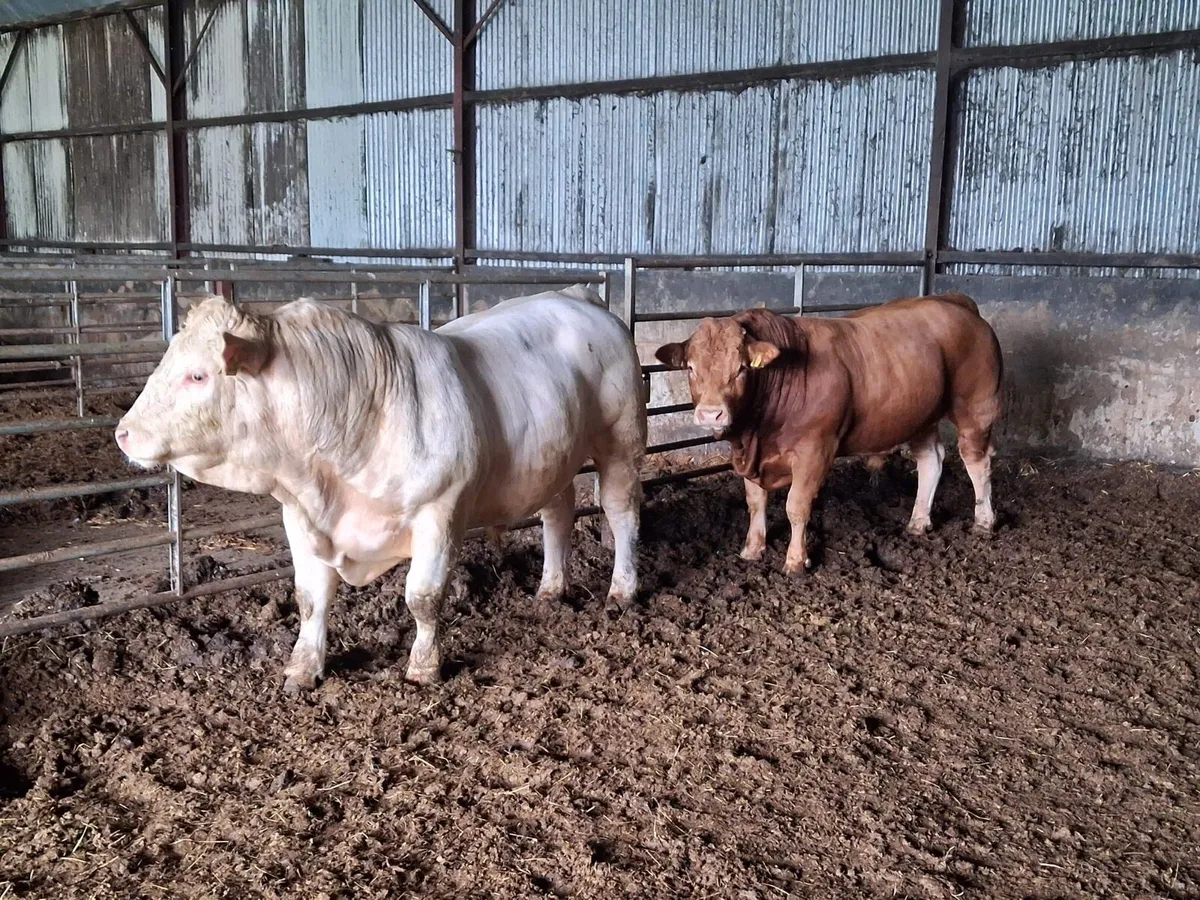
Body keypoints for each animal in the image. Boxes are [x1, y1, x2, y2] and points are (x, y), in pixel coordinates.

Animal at [115, 286, 647, 692]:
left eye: (198, 375)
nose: (123, 433)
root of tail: (578, 296)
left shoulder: (439, 512)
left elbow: (423, 597)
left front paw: (423, 667)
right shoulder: (300, 517)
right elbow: (310, 598)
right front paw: (303, 668)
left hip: (621, 441)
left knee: (621, 513)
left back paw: (621, 591)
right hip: (551, 457)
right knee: (558, 513)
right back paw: (550, 588)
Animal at [653, 293, 1003, 574]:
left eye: (742, 368)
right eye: (691, 368)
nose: (710, 413)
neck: (755, 434)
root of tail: (955, 302)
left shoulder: (815, 451)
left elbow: (796, 506)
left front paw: (796, 561)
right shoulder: (750, 456)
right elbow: (755, 501)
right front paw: (752, 549)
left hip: (975, 408)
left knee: (977, 462)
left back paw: (984, 521)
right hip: (921, 415)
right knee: (931, 460)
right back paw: (918, 521)